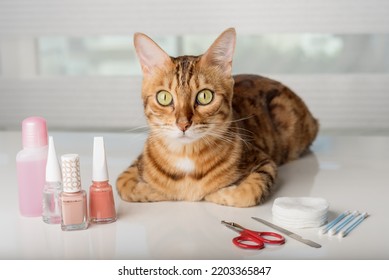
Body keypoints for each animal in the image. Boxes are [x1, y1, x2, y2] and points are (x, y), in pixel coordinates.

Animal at [116, 28, 316, 207]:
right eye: (164, 97)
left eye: (205, 96)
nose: (183, 124)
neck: (186, 155)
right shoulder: (136, 163)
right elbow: (122, 185)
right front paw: (157, 191)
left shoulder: (264, 161)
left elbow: (250, 191)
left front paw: (217, 194)